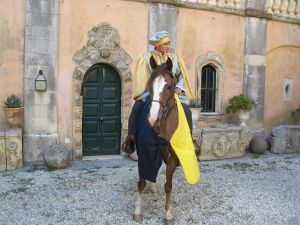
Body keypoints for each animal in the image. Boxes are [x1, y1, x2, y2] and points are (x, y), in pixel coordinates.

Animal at [133, 55, 199, 224]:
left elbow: (168, 185)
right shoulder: (145, 151)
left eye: (169, 86)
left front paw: (168, 214)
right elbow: (141, 181)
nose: (152, 118)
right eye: (149, 85)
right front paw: (137, 211)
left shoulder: (173, 159)